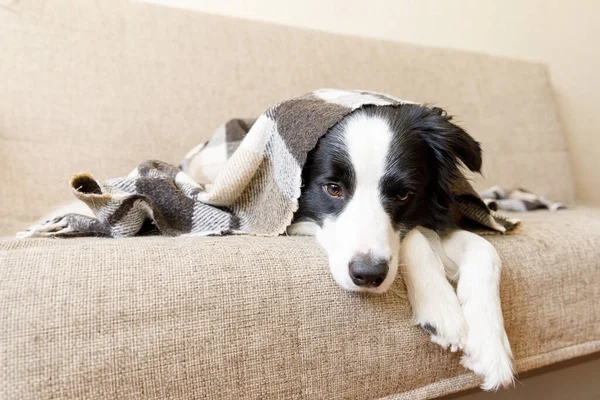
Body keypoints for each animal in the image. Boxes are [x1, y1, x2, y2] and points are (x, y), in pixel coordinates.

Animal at [288, 104, 512, 392]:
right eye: (333, 189)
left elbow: (486, 250)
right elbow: (414, 236)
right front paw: (441, 308)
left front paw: (490, 346)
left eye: (403, 195)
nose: (368, 275)